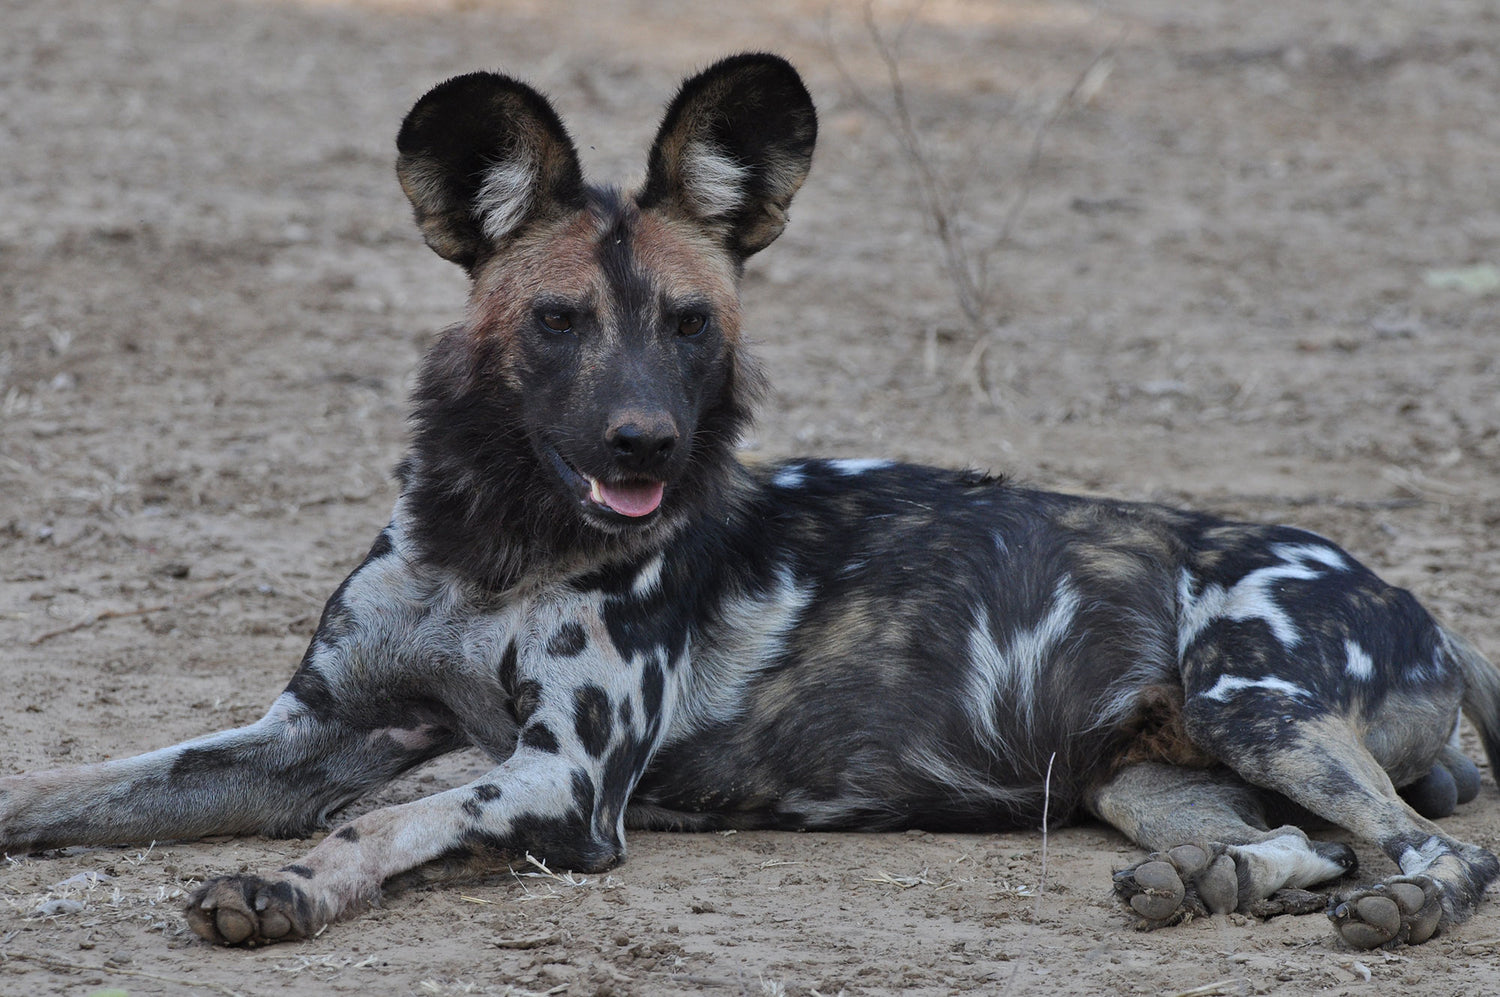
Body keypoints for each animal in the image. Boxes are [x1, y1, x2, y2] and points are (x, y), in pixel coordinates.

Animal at [2, 52, 1500, 947]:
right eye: (557, 321)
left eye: (690, 324)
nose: (646, 445)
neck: (492, 544)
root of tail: (1413, 599)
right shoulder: (309, 735)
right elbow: (71, 786)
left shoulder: (564, 781)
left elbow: (386, 815)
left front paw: (287, 885)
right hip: (1145, 776)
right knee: (1301, 844)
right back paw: (1213, 881)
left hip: (1261, 706)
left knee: (1437, 854)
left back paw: (1388, 912)